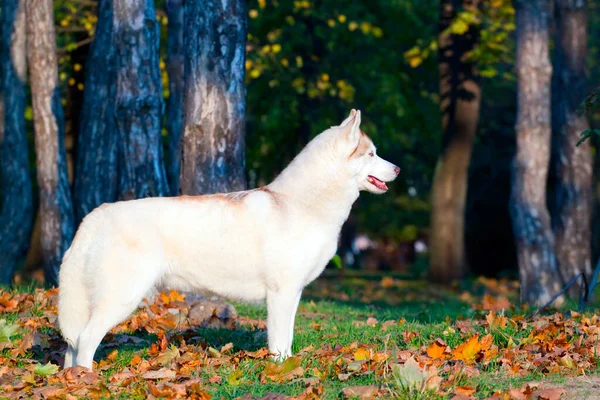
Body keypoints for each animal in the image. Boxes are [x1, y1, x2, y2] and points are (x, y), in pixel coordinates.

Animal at [58, 108, 400, 368]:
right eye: (372, 153)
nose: (397, 168)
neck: (301, 204)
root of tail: (95, 215)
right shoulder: (281, 294)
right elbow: (278, 342)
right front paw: (281, 371)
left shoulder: (292, 294)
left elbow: (288, 339)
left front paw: (289, 364)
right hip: (122, 297)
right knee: (86, 340)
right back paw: (87, 379)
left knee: (71, 344)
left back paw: (70, 378)